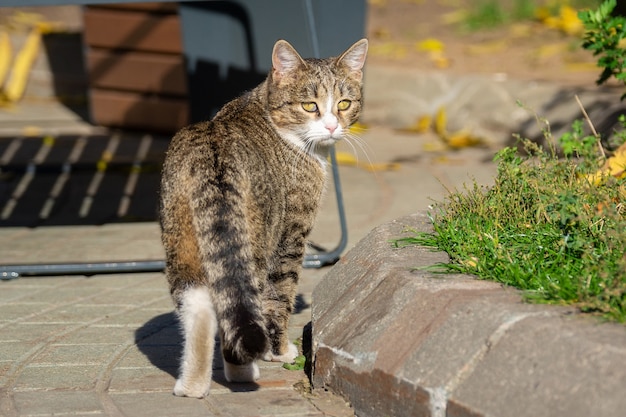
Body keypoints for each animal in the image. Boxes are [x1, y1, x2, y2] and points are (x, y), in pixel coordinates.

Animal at [158, 38, 368, 396]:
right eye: (309, 106)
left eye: (344, 103)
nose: (331, 126)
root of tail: (212, 154)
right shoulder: (291, 234)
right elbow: (279, 298)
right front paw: (279, 351)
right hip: (255, 243)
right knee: (243, 301)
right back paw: (243, 371)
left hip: (180, 239)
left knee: (201, 306)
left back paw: (193, 386)